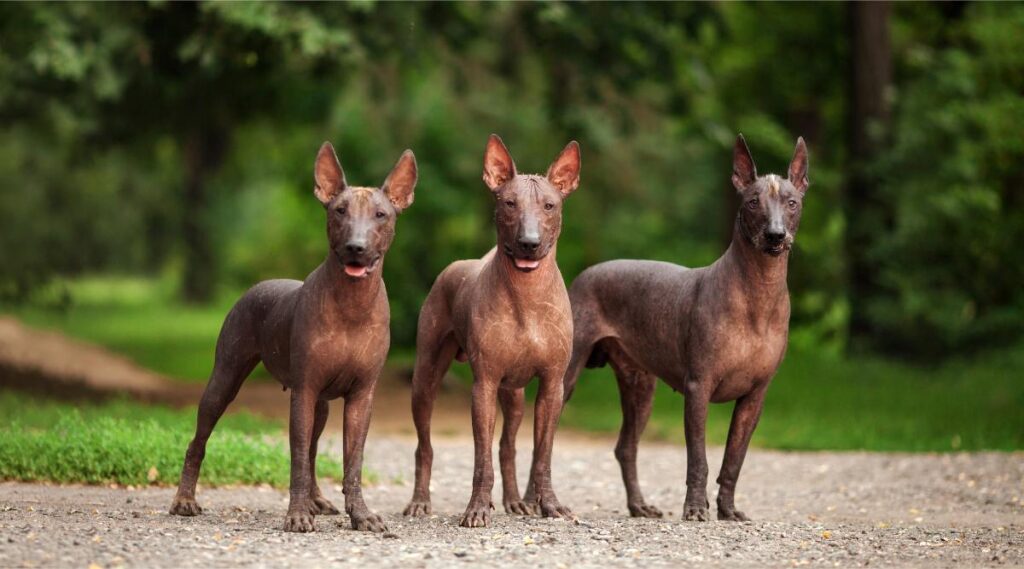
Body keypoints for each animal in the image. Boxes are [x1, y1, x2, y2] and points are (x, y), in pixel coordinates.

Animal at [167, 142, 415, 532]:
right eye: (339, 211)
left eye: (381, 215)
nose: (356, 246)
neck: (352, 304)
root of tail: (259, 285)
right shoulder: (304, 391)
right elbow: (297, 457)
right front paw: (297, 514)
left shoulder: (362, 397)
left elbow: (352, 462)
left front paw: (360, 515)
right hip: (225, 379)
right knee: (199, 440)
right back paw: (184, 500)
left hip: (322, 405)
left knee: (313, 451)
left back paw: (317, 500)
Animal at [405, 135, 585, 528]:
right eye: (508, 203)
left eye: (550, 205)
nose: (529, 242)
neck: (526, 295)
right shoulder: (483, 385)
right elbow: (480, 459)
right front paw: (477, 507)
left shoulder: (552, 385)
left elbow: (542, 455)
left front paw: (549, 504)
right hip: (425, 379)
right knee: (424, 446)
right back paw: (420, 501)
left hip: (514, 395)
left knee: (508, 446)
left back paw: (516, 501)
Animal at [561, 135, 806, 521]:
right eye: (753, 202)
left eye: (792, 203)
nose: (775, 235)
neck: (757, 293)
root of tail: (585, 274)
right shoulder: (698, 388)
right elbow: (699, 460)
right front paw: (694, 508)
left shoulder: (755, 397)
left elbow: (734, 460)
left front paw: (728, 510)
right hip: (566, 377)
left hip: (640, 388)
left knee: (625, 448)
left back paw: (639, 505)